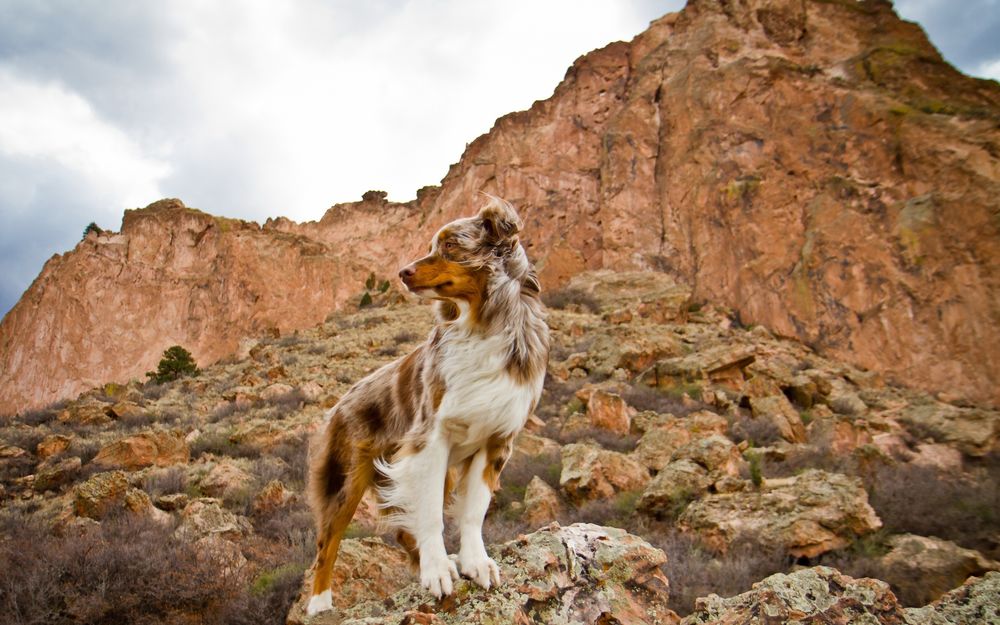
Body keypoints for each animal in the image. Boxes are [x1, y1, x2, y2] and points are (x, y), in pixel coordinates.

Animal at [306, 196, 552, 616]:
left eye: (451, 245)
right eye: (433, 244)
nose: (402, 272)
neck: (483, 323)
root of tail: (341, 400)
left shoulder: (497, 441)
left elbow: (473, 511)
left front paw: (474, 562)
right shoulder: (428, 439)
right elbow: (432, 516)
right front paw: (437, 571)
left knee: (404, 533)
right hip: (345, 480)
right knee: (327, 544)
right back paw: (320, 604)